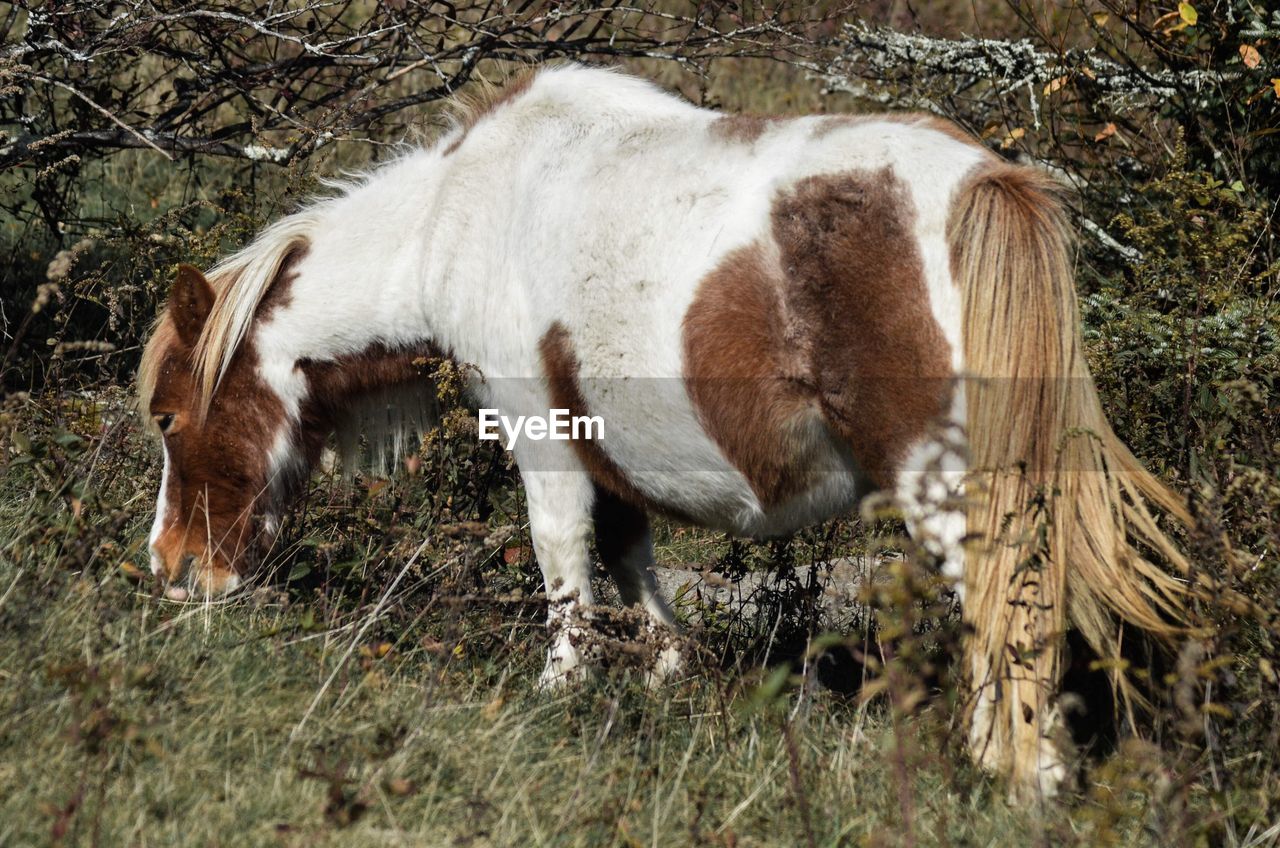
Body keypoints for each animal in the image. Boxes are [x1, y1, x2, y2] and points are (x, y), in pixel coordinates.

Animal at [135, 63, 1192, 799]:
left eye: (167, 416)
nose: (173, 570)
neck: (457, 215)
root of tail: (986, 183)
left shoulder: (543, 435)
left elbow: (563, 561)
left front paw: (561, 691)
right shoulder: (610, 447)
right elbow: (632, 556)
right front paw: (669, 672)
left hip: (945, 487)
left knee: (1006, 605)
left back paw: (1011, 771)